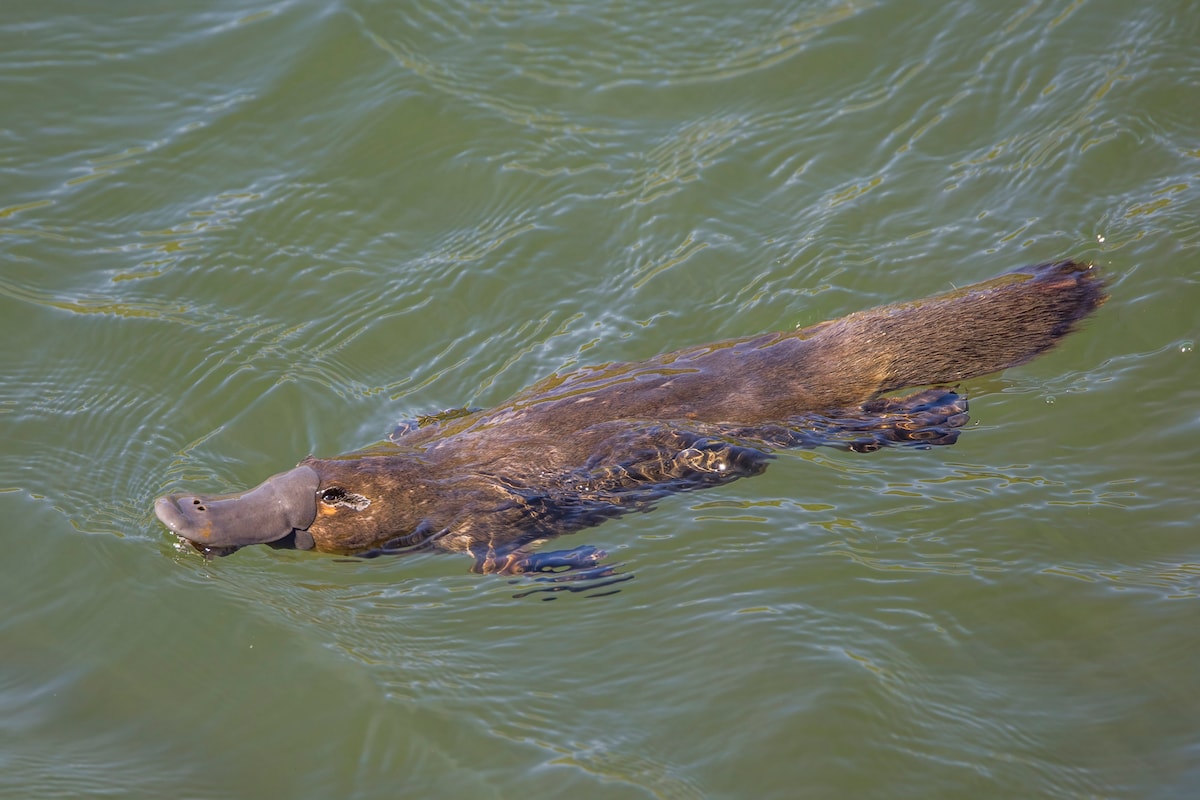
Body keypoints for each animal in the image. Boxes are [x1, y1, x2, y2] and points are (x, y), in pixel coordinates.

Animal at [155, 260, 1105, 573]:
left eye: (328, 498)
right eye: (297, 471)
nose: (180, 507)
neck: (423, 479)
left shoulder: (480, 515)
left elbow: (501, 558)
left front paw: (584, 568)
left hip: (822, 412)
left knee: (868, 415)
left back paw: (939, 413)